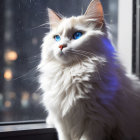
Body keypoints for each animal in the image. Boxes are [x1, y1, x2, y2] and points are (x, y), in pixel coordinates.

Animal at [38, 0, 140, 139]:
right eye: (57, 38)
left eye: (77, 35)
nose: (61, 46)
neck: (71, 72)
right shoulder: (62, 123)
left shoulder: (95, 122)